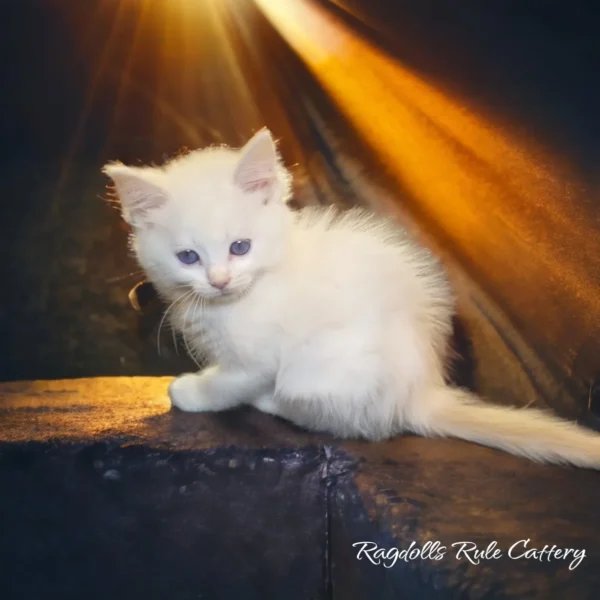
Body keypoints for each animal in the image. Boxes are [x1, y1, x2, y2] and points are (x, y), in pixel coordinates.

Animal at [105, 129, 600, 472]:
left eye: (240, 247)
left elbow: (231, 383)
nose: (220, 281)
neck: (241, 298)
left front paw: (190, 391)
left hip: (316, 375)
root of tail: (423, 391)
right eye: (188, 257)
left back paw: (272, 404)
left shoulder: (258, 358)